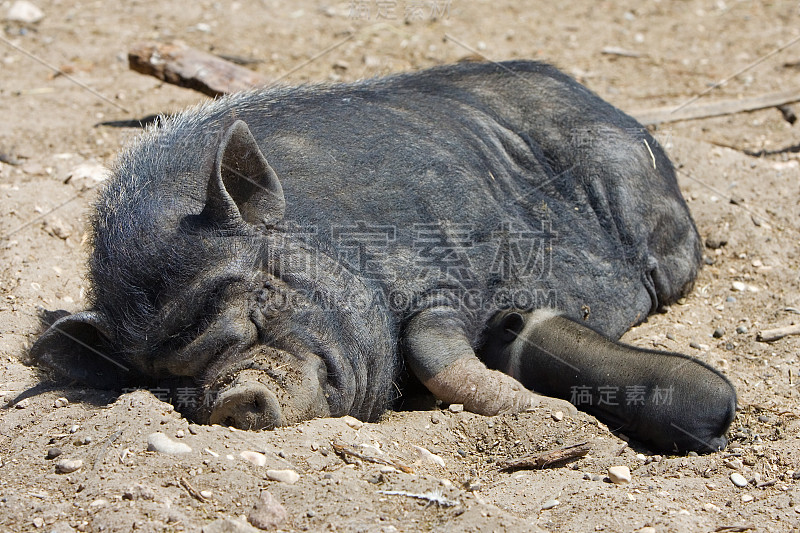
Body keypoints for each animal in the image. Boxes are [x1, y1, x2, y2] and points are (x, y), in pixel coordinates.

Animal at [32, 61, 736, 454]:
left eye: (263, 294)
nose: (233, 393)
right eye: (165, 378)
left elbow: (431, 347)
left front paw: (552, 414)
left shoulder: (445, 273)